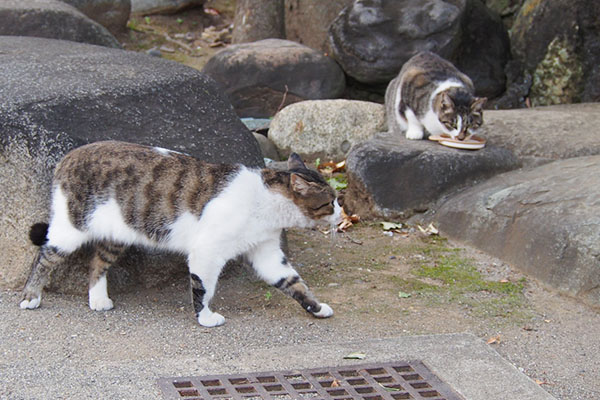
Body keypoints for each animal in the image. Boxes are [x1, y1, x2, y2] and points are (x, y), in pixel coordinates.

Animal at [21, 142, 342, 326]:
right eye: (330, 201)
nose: (342, 214)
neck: (266, 200)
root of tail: (67, 157)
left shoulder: (267, 253)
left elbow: (293, 283)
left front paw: (316, 308)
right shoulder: (207, 252)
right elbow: (203, 288)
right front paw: (205, 317)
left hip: (115, 237)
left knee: (97, 263)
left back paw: (98, 299)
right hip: (70, 229)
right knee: (43, 257)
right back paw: (31, 297)